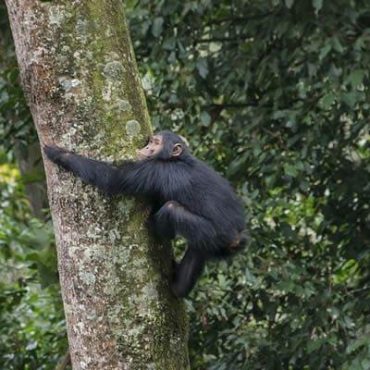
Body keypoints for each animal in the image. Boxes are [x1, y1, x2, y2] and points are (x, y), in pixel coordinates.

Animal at [44, 131, 247, 298]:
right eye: (151, 141)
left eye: (156, 143)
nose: (147, 146)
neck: (178, 159)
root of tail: (237, 239)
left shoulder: (153, 169)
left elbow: (113, 178)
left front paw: (60, 154)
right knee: (196, 252)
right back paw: (178, 287)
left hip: (211, 233)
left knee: (171, 209)